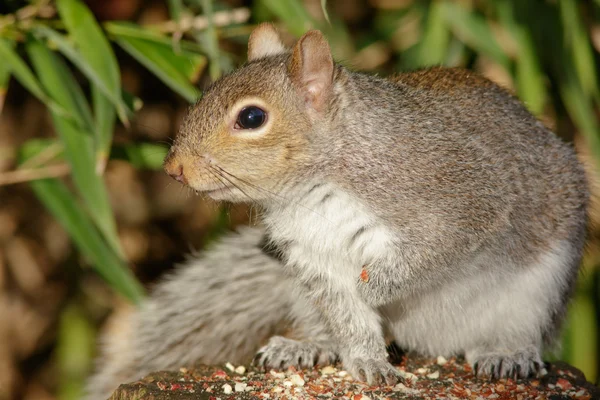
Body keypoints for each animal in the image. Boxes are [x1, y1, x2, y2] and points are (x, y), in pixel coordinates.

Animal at [86, 24, 588, 400]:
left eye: (251, 118)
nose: (173, 169)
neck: (314, 187)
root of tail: (436, 342)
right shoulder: (312, 258)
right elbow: (348, 315)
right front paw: (367, 360)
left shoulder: (462, 202)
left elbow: (432, 255)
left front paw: (374, 286)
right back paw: (310, 346)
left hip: (541, 288)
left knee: (527, 328)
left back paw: (507, 353)